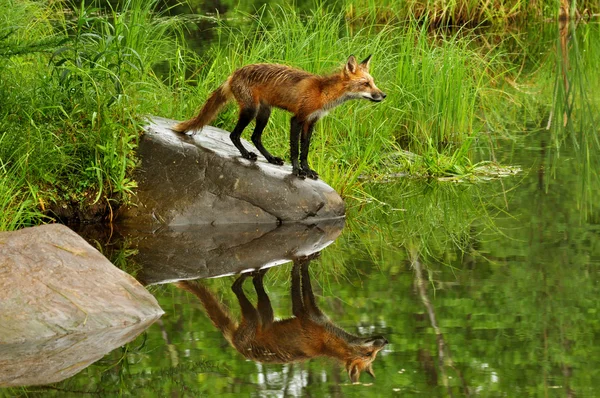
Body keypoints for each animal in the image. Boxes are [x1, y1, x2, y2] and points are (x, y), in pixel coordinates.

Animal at [171, 55, 386, 180]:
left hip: (264, 114)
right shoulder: (297, 119)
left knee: (255, 137)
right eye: (366, 84)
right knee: (234, 135)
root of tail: (234, 73)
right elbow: (295, 150)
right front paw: (298, 171)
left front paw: (307, 170)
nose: (383, 95)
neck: (322, 94)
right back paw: (246, 155)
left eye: (373, 82)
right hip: (250, 111)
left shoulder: (311, 122)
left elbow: (305, 150)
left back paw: (271, 159)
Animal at [176, 255, 386, 382]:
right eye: (369, 354)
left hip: (264, 313)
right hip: (257, 316)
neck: (327, 340)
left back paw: (257, 273)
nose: (385, 341)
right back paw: (252, 273)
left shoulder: (310, 313)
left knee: (247, 284)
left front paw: (302, 262)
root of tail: (237, 346)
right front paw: (303, 261)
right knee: (236, 286)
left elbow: (301, 281)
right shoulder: (306, 314)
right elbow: (301, 278)